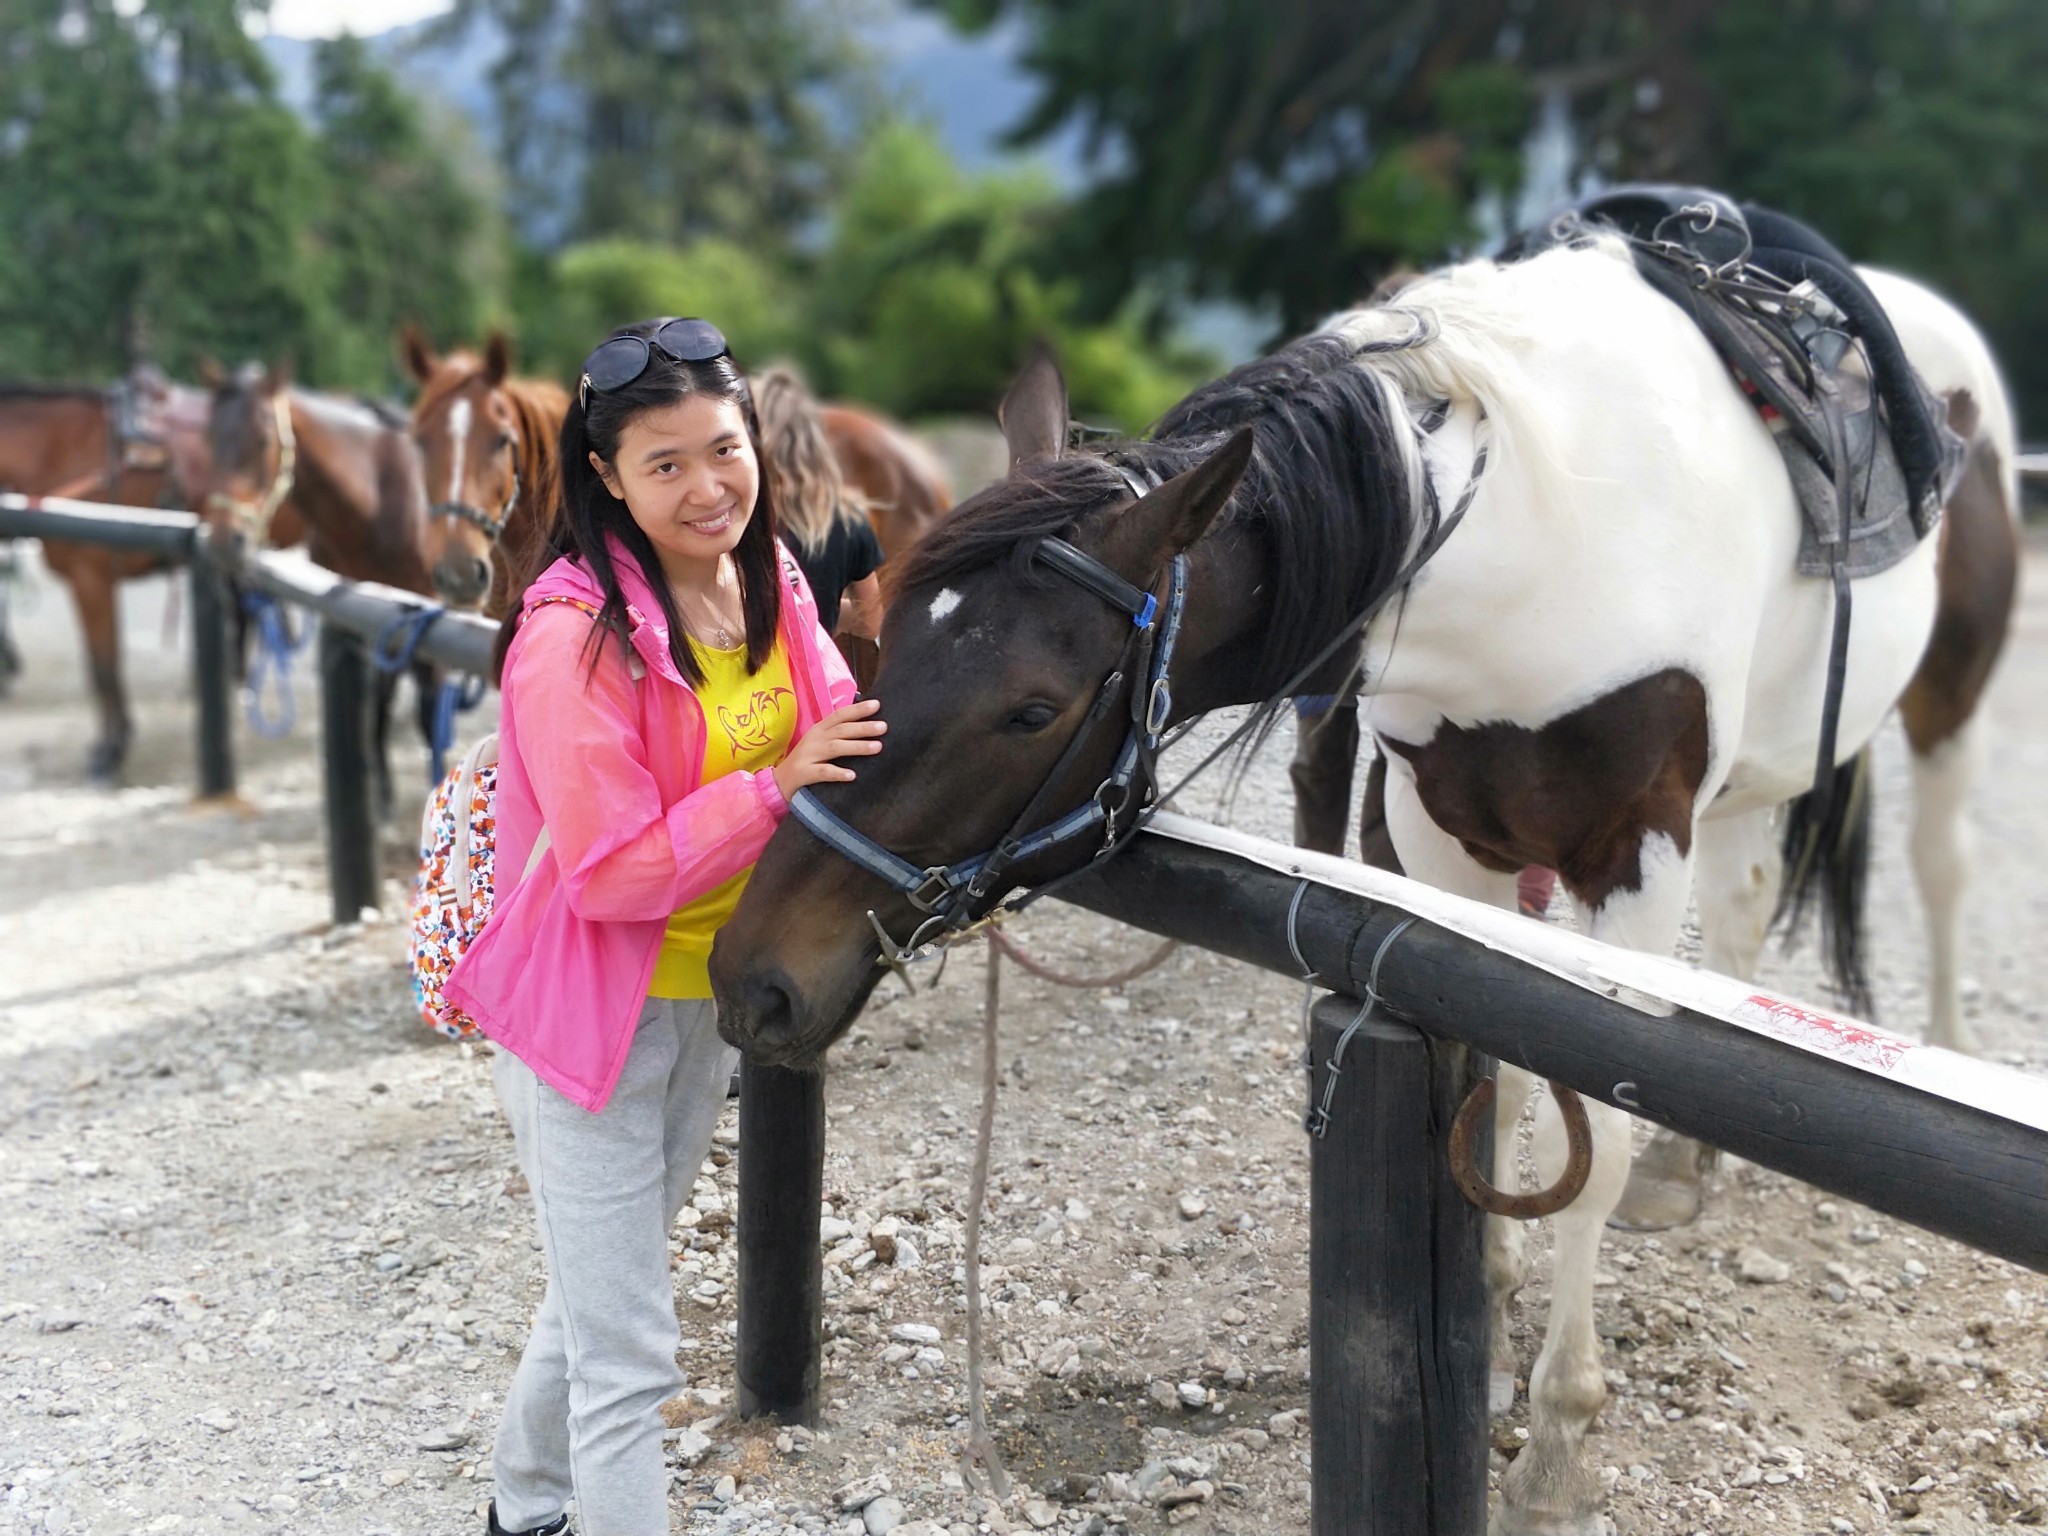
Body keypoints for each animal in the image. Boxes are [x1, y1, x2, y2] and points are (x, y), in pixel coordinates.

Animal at [712, 207, 2023, 1536]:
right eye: (883, 632)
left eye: (1030, 709)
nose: (753, 976)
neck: (1538, 542)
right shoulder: (1443, 836)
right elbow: (1493, 1072)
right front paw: (1485, 1301)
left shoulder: (1633, 857)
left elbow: (1594, 1122)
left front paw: (1557, 1436)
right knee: (1751, 908)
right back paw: (1683, 1167)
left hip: (1946, 702)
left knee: (1939, 865)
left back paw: (1946, 1050)